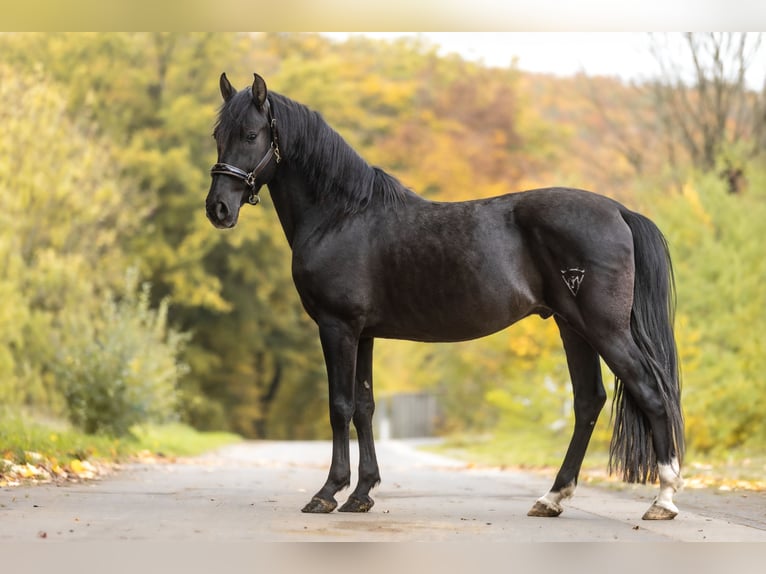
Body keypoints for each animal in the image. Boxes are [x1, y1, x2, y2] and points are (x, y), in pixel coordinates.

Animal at [205, 72, 685, 521]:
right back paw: (552, 497)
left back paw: (663, 498)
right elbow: (364, 406)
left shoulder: (337, 327)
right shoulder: (364, 334)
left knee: (651, 391)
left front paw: (327, 493)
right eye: (217, 135)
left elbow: (339, 406)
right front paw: (362, 494)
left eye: (251, 135)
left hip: (604, 329)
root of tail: (618, 211)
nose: (218, 209)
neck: (341, 215)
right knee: (588, 402)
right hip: (573, 328)